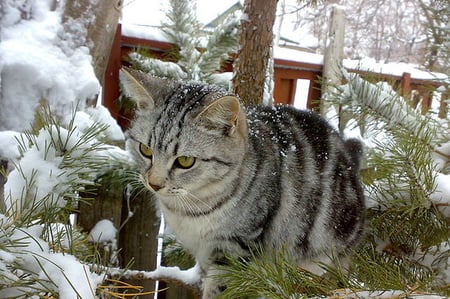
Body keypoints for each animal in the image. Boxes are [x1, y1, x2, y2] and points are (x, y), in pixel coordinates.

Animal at [120, 68, 366, 299]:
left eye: (185, 161)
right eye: (145, 150)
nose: (154, 183)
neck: (190, 210)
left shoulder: (235, 246)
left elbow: (222, 289)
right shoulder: (204, 252)